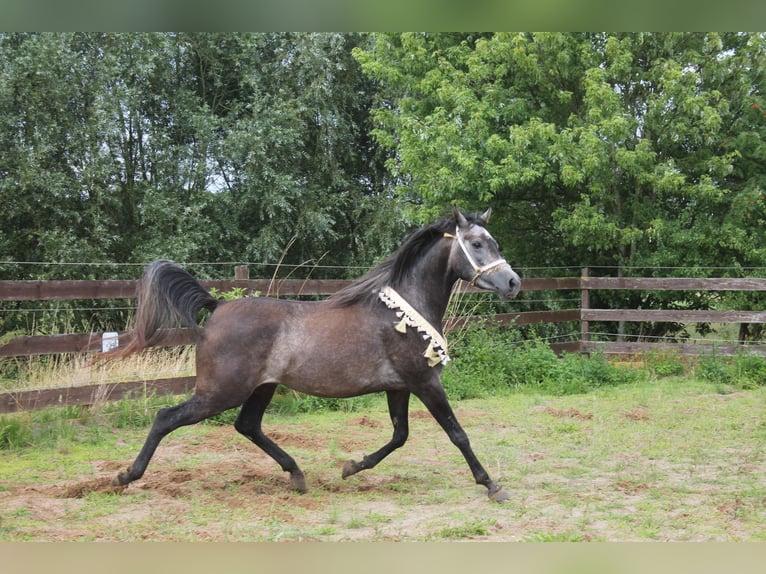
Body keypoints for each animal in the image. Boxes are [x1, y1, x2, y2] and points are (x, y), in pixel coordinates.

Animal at [110, 207, 521, 502]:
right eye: (477, 244)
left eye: (497, 243)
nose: (513, 282)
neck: (403, 311)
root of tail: (217, 308)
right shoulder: (425, 382)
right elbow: (457, 433)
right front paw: (492, 486)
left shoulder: (399, 387)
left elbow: (399, 436)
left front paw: (351, 467)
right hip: (219, 392)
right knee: (166, 418)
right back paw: (125, 476)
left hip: (261, 388)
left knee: (247, 425)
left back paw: (296, 474)